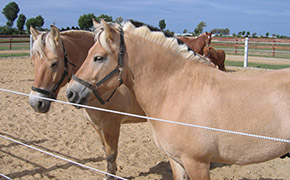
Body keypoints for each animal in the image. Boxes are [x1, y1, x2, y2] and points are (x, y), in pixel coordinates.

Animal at [27, 25, 145, 179]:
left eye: (54, 63)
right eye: (33, 62)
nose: (36, 102)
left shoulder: (111, 125)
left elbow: (111, 153)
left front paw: (109, 175)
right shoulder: (96, 124)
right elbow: (105, 149)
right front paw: (111, 171)